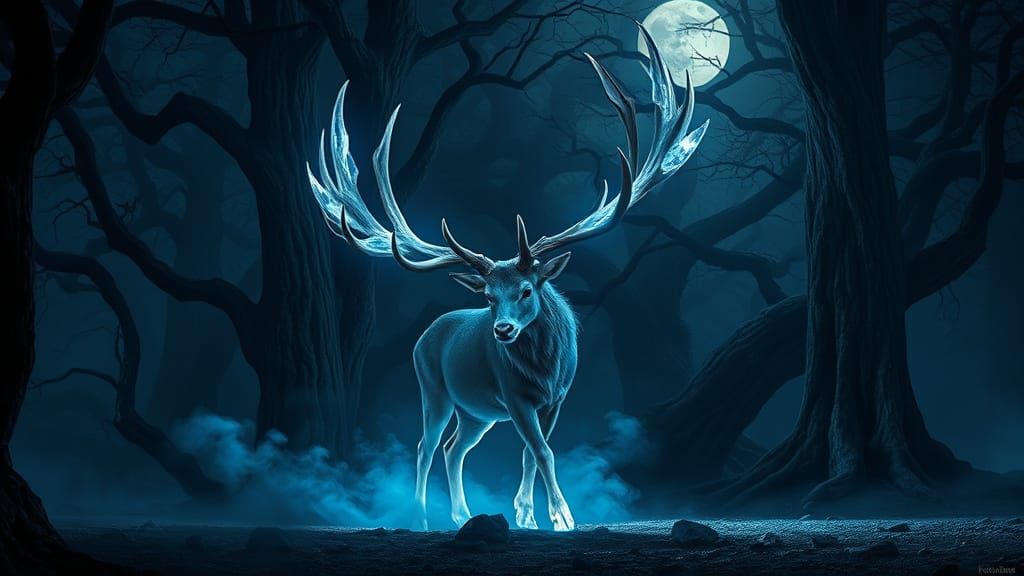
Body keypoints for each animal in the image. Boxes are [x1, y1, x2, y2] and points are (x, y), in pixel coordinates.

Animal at [307, 24, 707, 532]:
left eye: (527, 288)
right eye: (489, 296)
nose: (501, 331)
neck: (544, 370)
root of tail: (426, 334)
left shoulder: (557, 398)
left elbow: (531, 452)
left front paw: (528, 515)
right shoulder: (513, 396)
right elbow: (542, 450)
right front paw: (562, 516)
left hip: (476, 415)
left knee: (455, 448)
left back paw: (462, 514)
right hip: (433, 388)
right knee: (425, 445)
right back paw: (420, 516)